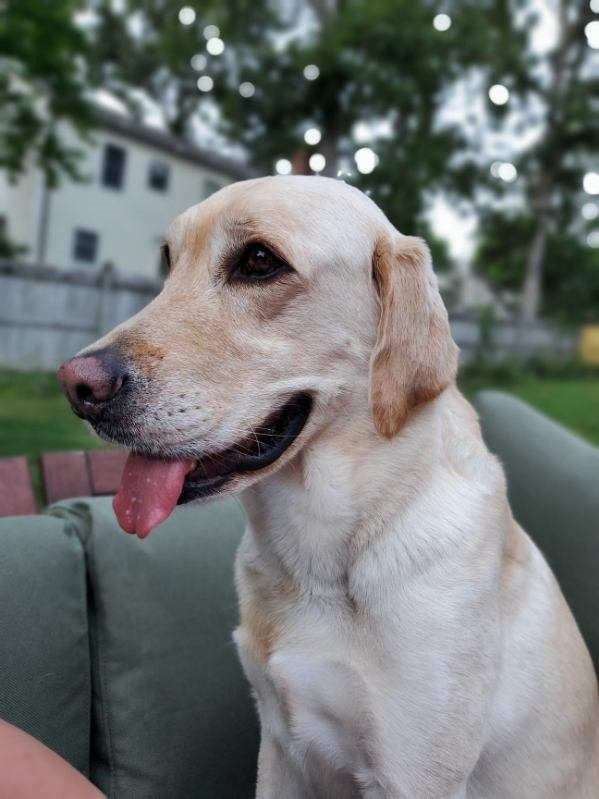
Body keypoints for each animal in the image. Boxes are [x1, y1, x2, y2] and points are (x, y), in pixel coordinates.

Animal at [58, 178, 596, 796]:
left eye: (259, 261)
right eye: (169, 262)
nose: (78, 387)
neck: (320, 563)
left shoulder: (413, 775)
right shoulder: (280, 746)